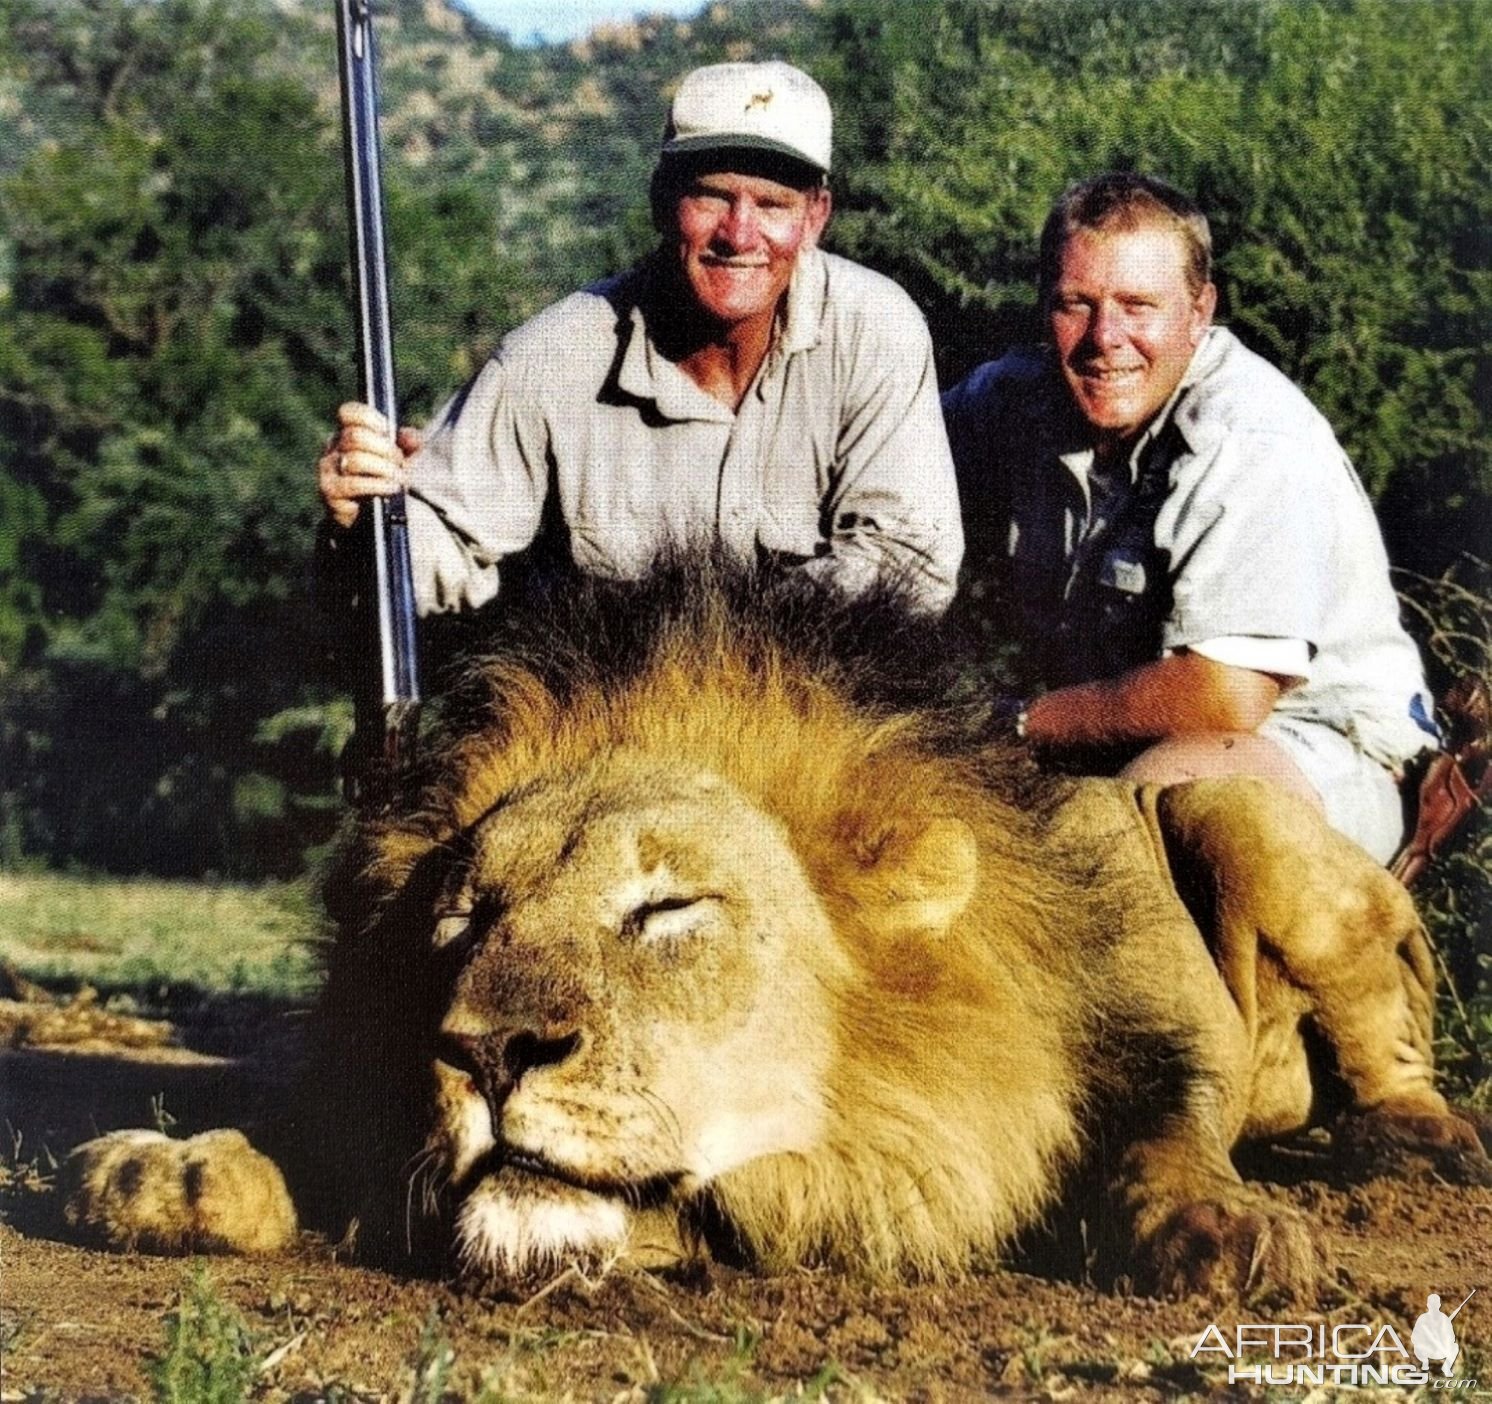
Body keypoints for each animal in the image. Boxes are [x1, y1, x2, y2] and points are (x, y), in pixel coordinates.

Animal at [64, 552, 1486, 1301]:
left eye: (666, 910)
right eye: (467, 913)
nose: (483, 1054)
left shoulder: (1145, 1029)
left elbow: (1167, 1140)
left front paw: (1221, 1231)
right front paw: (176, 1167)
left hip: (1221, 805)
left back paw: (1414, 1141)